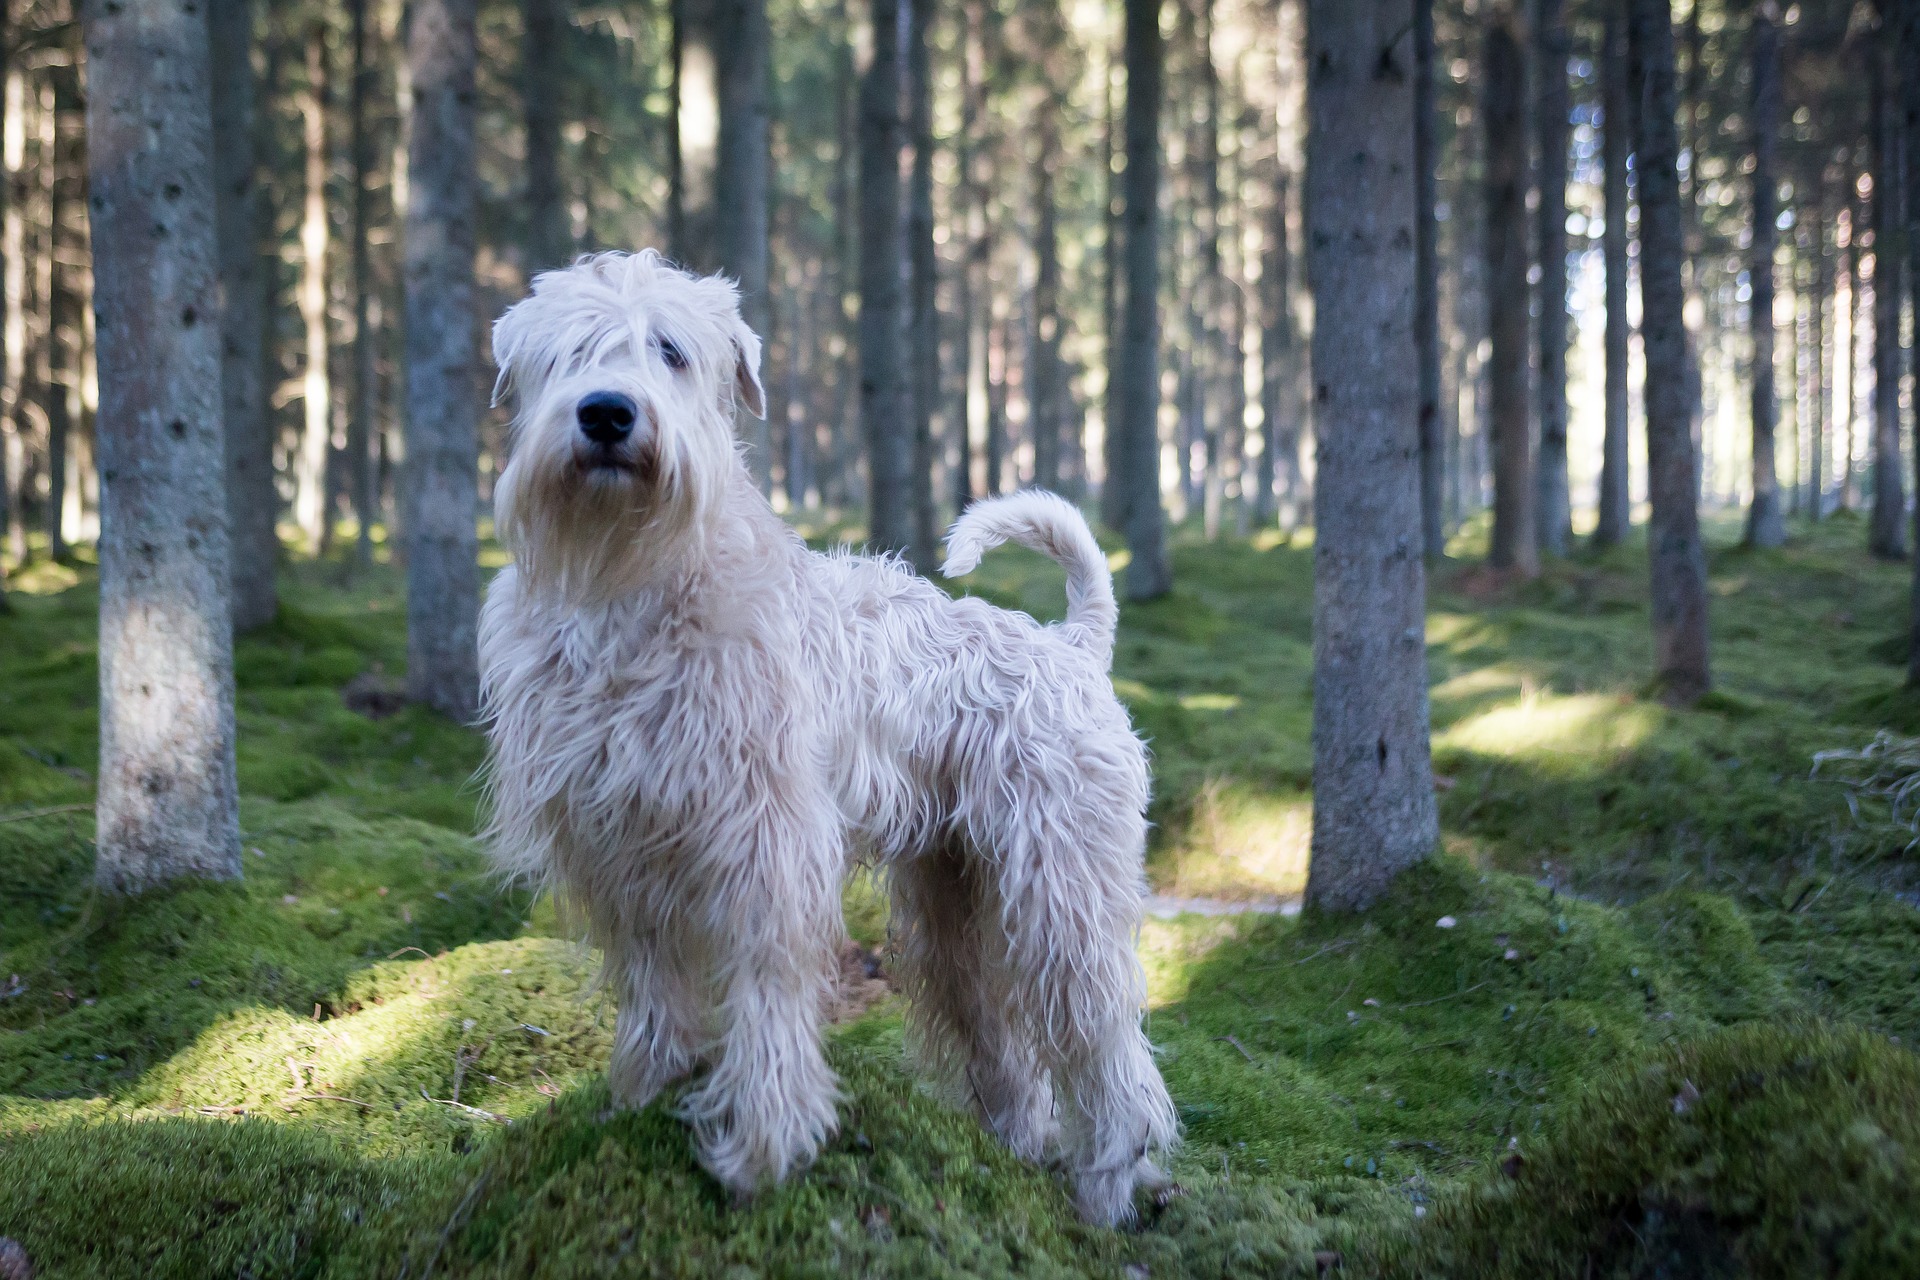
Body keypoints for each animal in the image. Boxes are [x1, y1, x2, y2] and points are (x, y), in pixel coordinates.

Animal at [474, 253, 1175, 1228]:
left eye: (671, 350)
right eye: (569, 348)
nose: (608, 413)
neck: (631, 590)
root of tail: (1073, 644)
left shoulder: (764, 843)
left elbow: (768, 993)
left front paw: (760, 1149)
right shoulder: (620, 841)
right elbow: (652, 989)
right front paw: (645, 1096)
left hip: (1061, 888)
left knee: (1105, 1038)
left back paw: (1110, 1183)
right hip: (952, 899)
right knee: (1001, 1038)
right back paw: (1018, 1148)